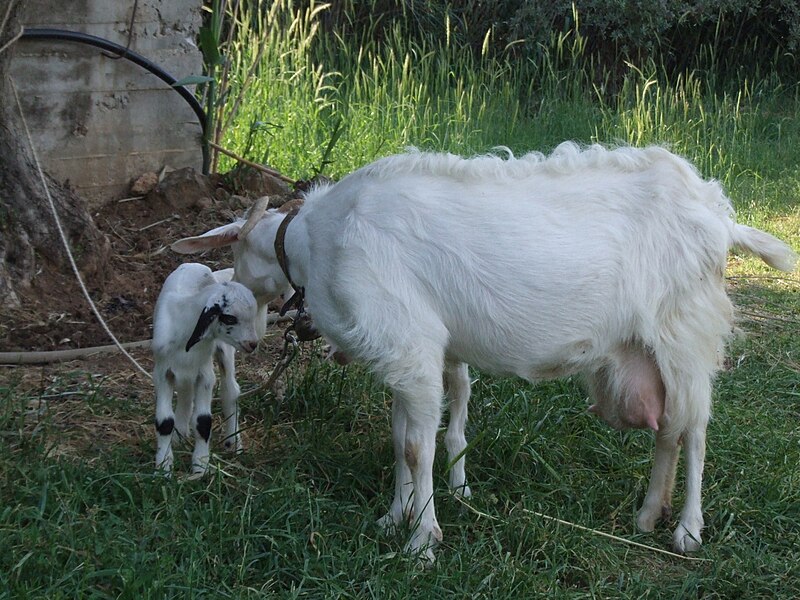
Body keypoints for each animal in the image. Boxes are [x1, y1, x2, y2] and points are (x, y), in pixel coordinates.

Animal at [152, 264, 260, 476]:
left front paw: (200, 466)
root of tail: (197, 265)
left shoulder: (205, 375)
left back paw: (234, 443)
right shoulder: (163, 373)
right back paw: (179, 435)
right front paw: (163, 467)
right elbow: (165, 421)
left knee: (230, 391)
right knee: (186, 393)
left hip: (224, 350)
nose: (252, 344)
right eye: (229, 318)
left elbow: (203, 421)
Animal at [169, 143, 792, 560]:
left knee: (697, 431)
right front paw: (394, 519)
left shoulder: (411, 344)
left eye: (237, 256)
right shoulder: (408, 357)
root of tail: (720, 216)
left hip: (687, 330)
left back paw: (687, 529)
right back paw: (646, 515)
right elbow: (400, 439)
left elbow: (417, 448)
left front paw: (422, 541)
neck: (317, 242)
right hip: (652, 347)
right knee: (670, 428)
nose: (250, 331)